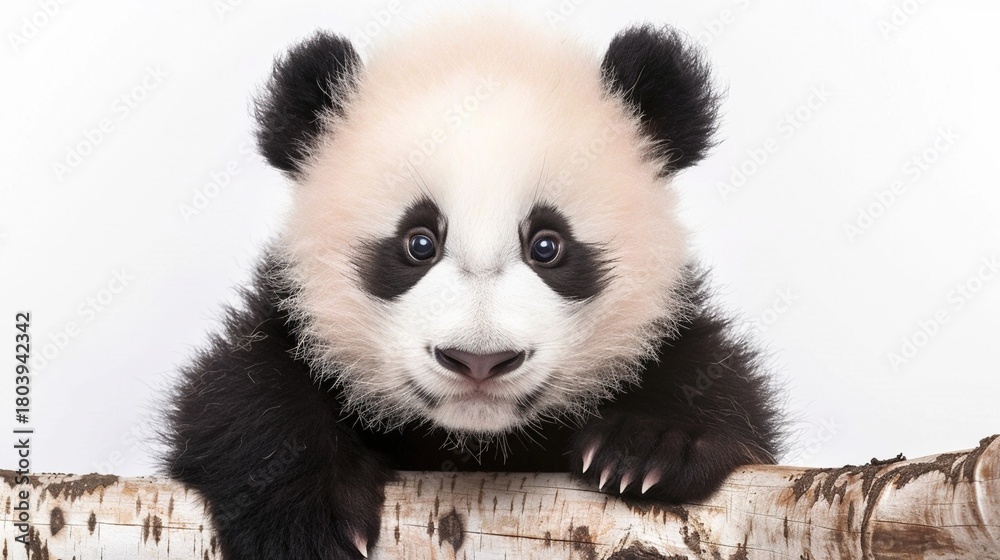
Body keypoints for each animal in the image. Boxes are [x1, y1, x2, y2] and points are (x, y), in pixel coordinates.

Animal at [163, 11, 782, 560]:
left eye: (548, 246)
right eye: (418, 243)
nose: (479, 361)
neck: (477, 441)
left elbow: (713, 380)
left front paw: (647, 448)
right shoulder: (288, 319)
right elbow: (238, 393)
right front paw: (308, 520)